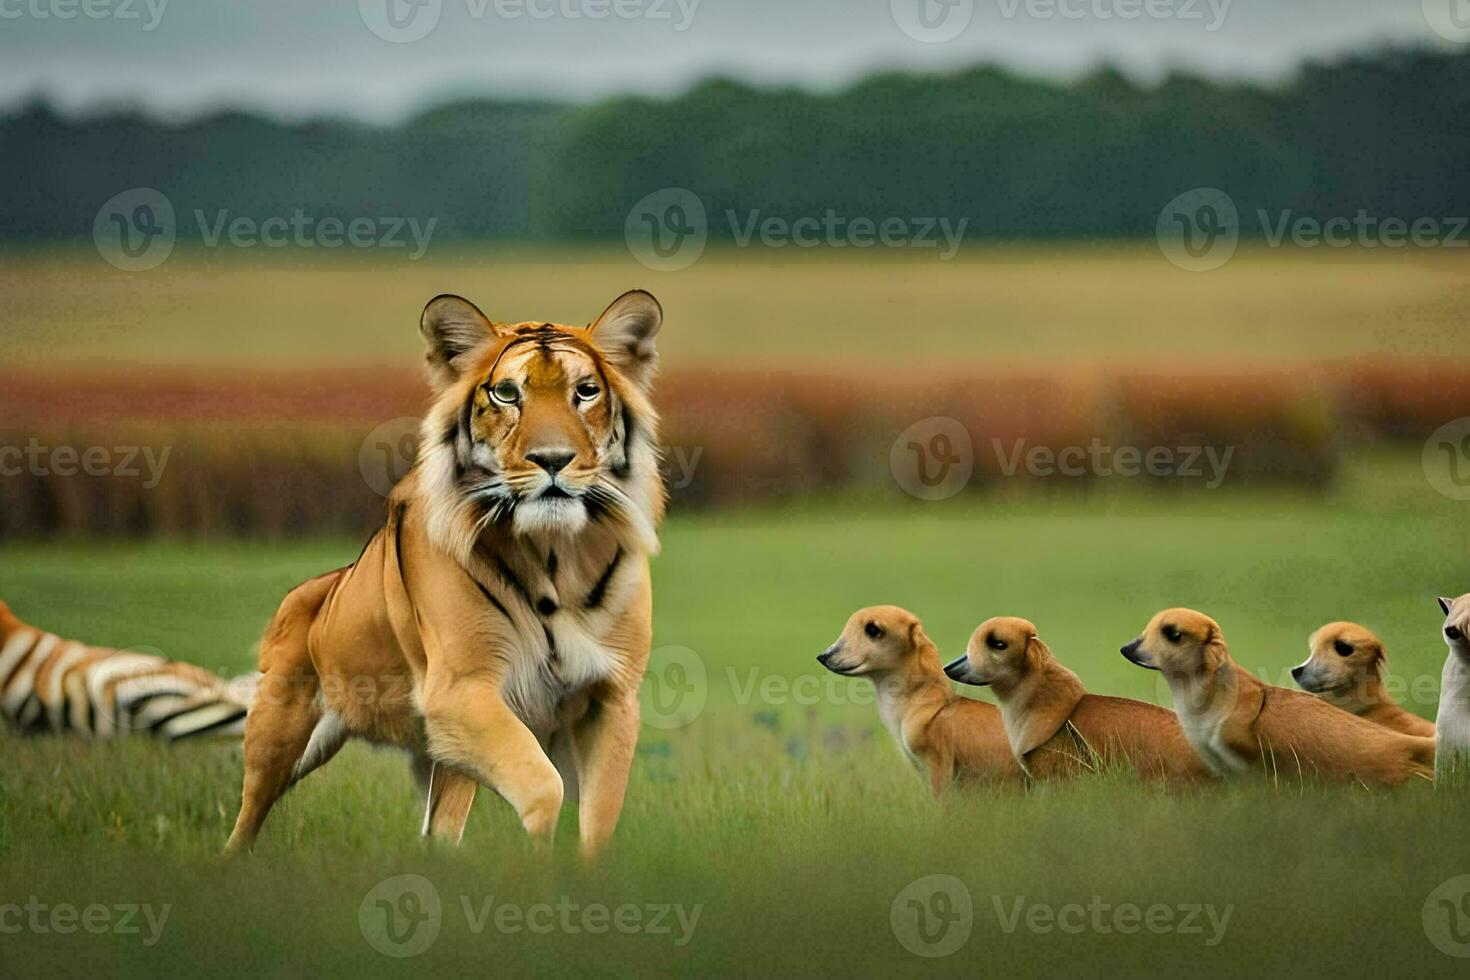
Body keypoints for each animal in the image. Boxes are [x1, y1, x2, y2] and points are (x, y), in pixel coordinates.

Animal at [223, 287, 667, 852]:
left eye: (585, 391)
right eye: (507, 394)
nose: (552, 459)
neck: (553, 555)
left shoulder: (610, 698)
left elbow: (597, 822)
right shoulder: (461, 689)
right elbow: (544, 785)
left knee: (438, 831)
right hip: (279, 736)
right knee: (246, 816)